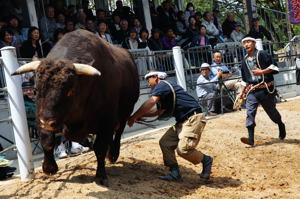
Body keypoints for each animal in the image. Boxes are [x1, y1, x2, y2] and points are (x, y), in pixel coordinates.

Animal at [12, 29, 139, 185]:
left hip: (125, 112)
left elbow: (100, 147)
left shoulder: (106, 120)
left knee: (118, 133)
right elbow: (47, 141)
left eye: (69, 91)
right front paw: (49, 167)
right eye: (36, 90)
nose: (47, 122)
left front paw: (101, 175)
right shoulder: (41, 117)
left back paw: (113, 154)